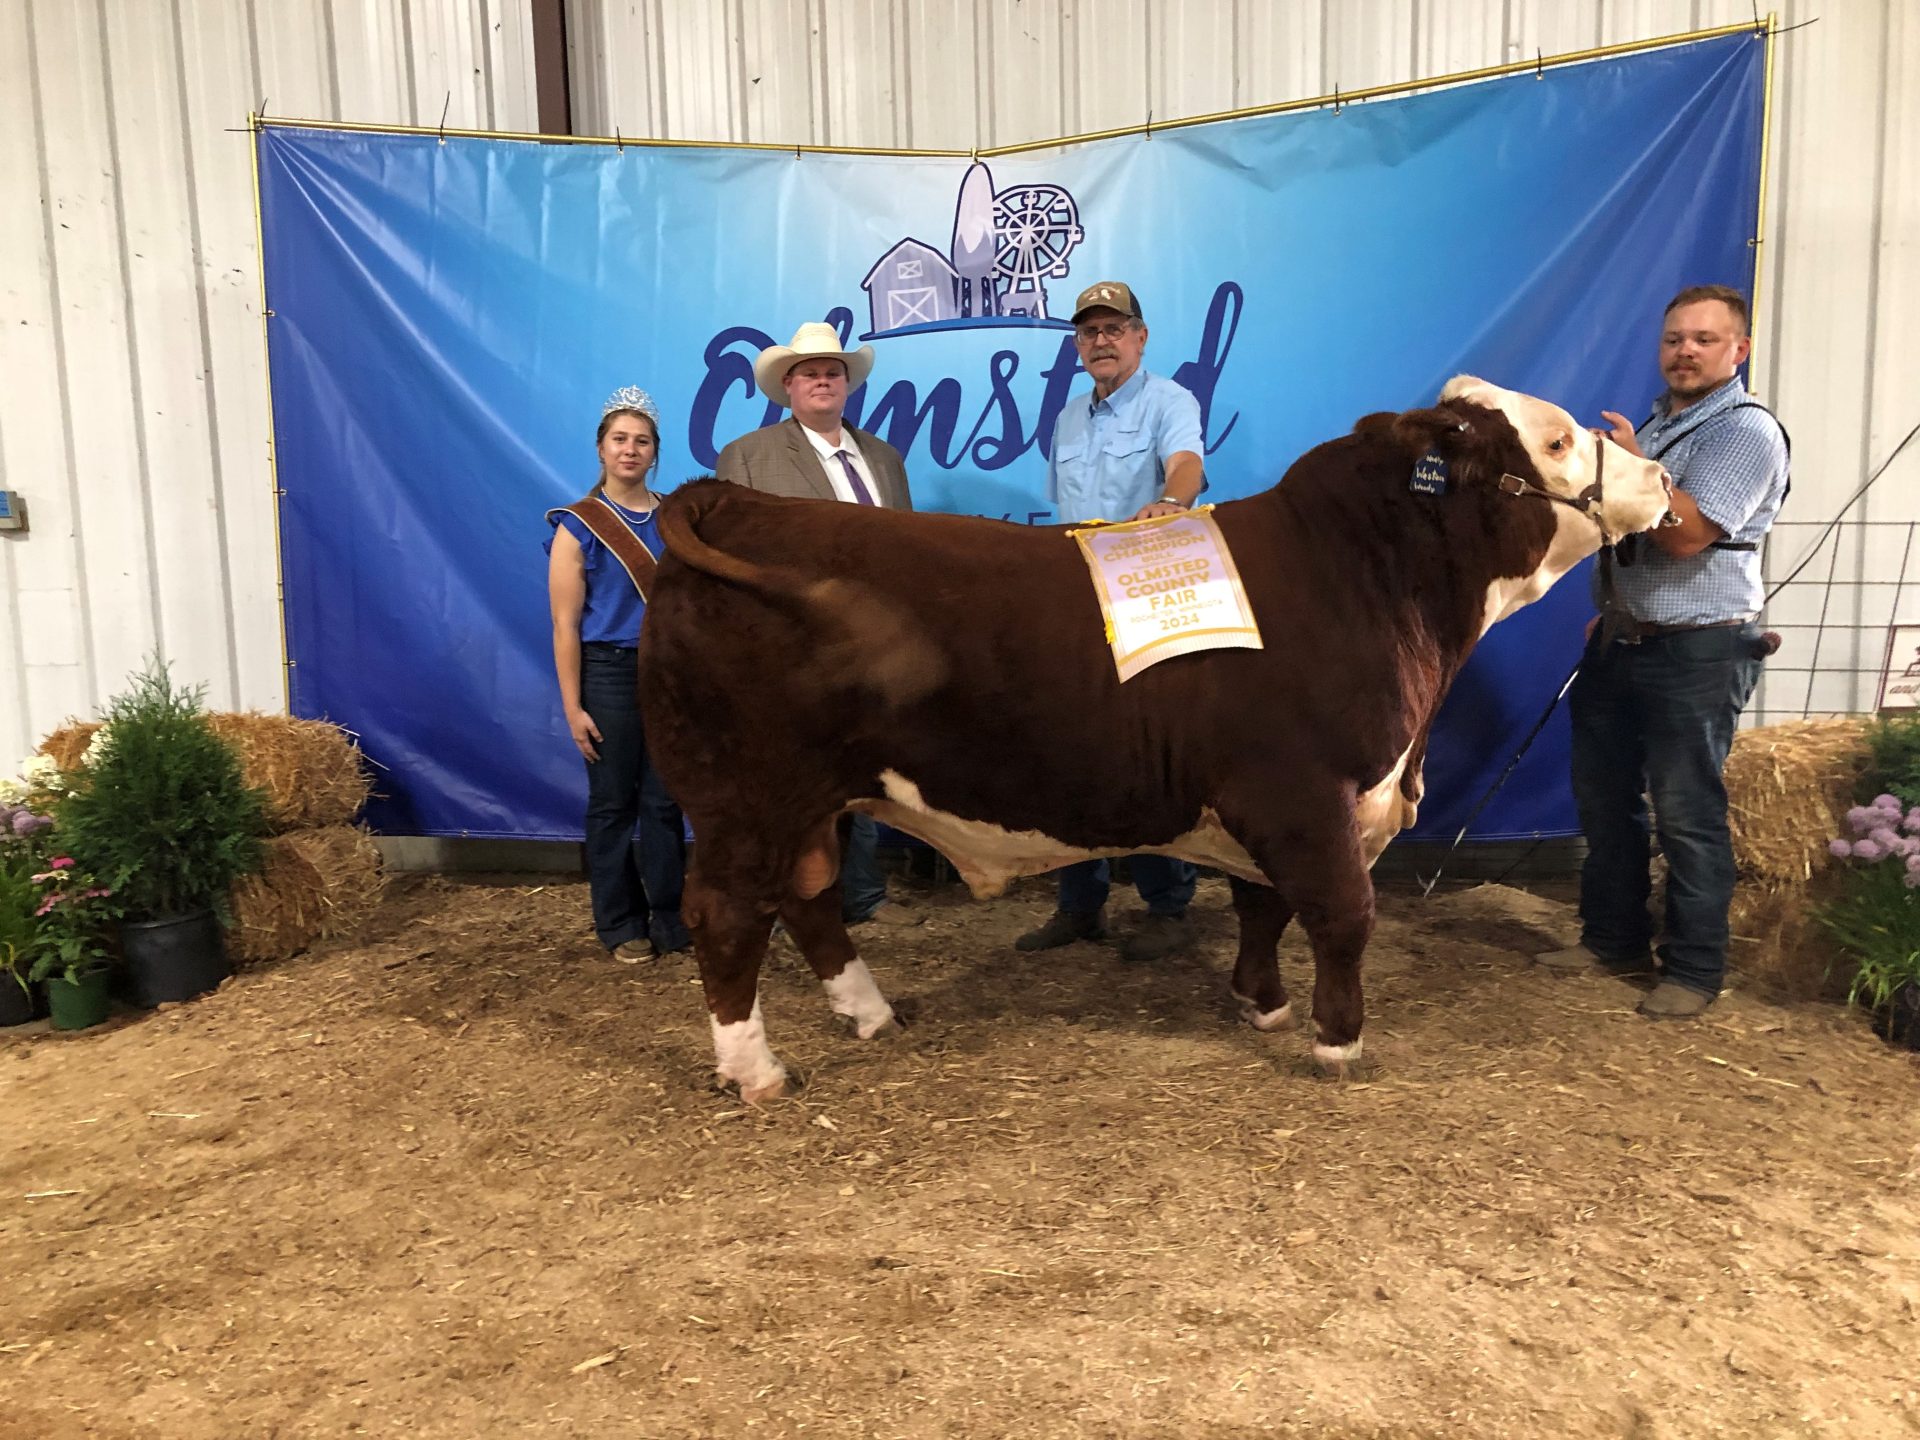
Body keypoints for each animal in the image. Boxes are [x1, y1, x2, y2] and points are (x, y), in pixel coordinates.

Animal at [637, 378, 1674, 1098]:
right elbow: (1343, 912)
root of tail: (731, 500)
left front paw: (1262, 1004)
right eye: (1554, 438)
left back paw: (872, 1015)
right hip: (743, 800)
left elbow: (1263, 905)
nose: (1662, 475)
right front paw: (1339, 1043)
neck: (1361, 577)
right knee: (726, 913)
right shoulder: (1303, 792)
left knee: (809, 900)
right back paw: (758, 1072)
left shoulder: (1275, 806)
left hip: (817, 802)